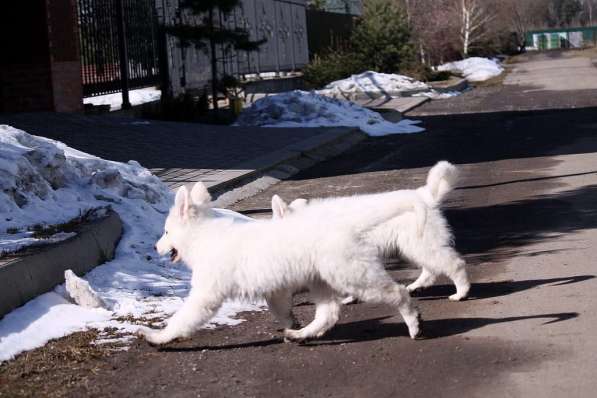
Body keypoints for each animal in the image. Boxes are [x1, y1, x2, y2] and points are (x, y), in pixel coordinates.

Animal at [139, 182, 428, 344]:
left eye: (166, 232)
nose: (154, 247)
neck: (203, 237)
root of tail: (342, 221)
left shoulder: (205, 296)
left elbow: (181, 318)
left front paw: (158, 337)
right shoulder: (274, 289)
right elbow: (281, 310)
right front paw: (293, 324)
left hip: (352, 275)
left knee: (397, 292)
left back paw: (414, 324)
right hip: (321, 279)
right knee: (329, 313)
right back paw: (302, 335)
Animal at [272, 162, 470, 302]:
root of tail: (425, 195)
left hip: (421, 244)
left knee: (455, 264)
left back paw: (461, 293)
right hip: (413, 246)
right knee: (430, 269)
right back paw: (415, 286)